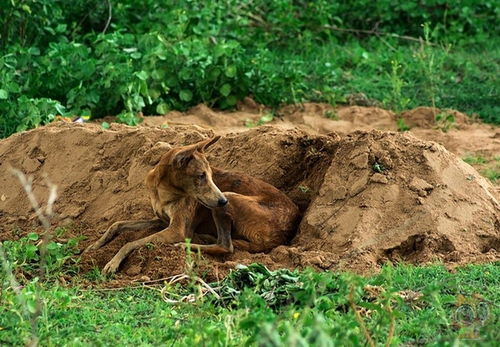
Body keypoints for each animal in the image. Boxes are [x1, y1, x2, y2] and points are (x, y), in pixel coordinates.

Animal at [86, 136, 298, 274]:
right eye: (201, 176)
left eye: (210, 175)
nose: (222, 201)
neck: (163, 192)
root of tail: (287, 231)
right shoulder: (161, 220)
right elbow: (117, 224)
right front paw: (94, 246)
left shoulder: (176, 230)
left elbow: (130, 242)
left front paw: (113, 263)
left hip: (229, 198)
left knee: (226, 247)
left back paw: (186, 245)